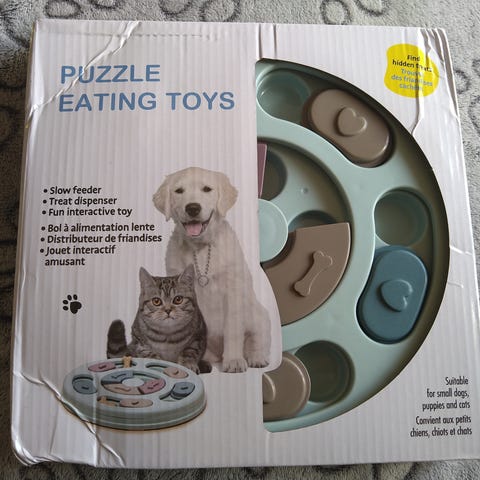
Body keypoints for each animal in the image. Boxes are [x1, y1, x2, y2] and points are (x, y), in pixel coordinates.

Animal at [153, 166, 271, 373]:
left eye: (207, 189)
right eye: (179, 191)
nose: (192, 208)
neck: (200, 248)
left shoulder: (233, 292)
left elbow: (233, 330)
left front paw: (234, 361)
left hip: (259, 315)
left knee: (256, 339)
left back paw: (256, 358)